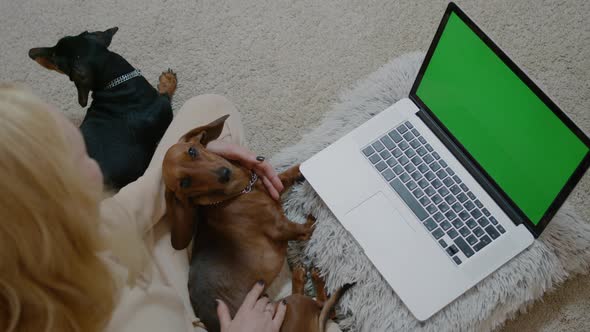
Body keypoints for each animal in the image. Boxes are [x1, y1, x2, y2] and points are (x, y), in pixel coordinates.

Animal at [28, 27, 176, 189]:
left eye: (55, 56)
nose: (30, 52)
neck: (116, 84)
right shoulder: (164, 108)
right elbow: (166, 95)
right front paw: (169, 81)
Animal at [162, 115, 316, 330]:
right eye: (185, 183)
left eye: (192, 151)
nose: (224, 173)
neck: (242, 191)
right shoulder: (280, 228)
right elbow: (304, 228)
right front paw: (313, 218)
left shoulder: (270, 186)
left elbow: (284, 175)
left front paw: (301, 168)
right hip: (281, 308)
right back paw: (299, 277)